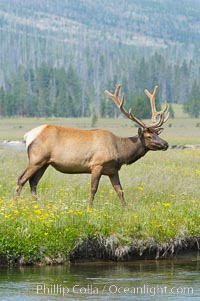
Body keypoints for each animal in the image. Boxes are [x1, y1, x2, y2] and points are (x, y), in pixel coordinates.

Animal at [14, 84, 170, 206]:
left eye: (157, 134)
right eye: (149, 136)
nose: (166, 144)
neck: (120, 152)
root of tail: (28, 136)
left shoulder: (113, 170)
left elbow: (120, 190)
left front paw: (127, 209)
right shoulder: (97, 164)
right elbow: (93, 188)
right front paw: (90, 208)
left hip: (45, 163)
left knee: (33, 181)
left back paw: (37, 205)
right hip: (36, 159)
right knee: (21, 179)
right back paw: (15, 204)